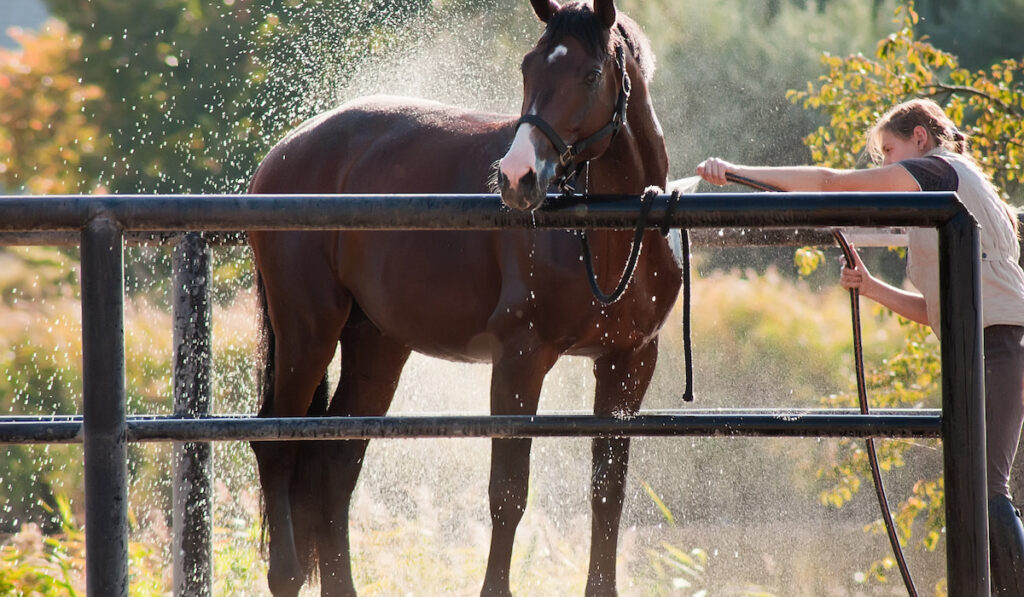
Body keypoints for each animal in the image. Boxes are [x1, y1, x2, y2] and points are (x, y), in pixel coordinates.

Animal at [246, 2, 679, 593]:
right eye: (527, 67)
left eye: (591, 75)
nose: (518, 178)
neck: (607, 231)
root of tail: (284, 152)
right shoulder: (520, 359)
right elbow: (508, 494)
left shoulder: (629, 362)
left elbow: (607, 493)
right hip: (307, 332)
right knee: (276, 442)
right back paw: (286, 576)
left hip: (376, 345)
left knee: (334, 465)